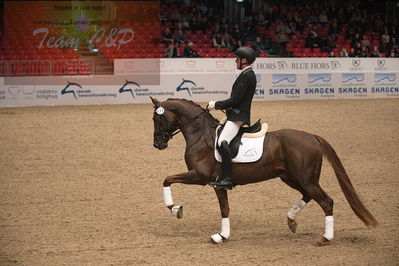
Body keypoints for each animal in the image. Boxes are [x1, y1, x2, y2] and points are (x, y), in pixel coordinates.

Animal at [151, 97, 378, 245]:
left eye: (157, 119)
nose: (157, 144)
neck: (201, 135)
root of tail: (312, 137)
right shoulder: (216, 184)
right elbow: (225, 209)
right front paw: (222, 236)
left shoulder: (200, 176)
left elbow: (166, 179)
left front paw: (175, 208)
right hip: (292, 178)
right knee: (308, 196)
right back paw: (291, 220)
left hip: (305, 179)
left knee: (326, 201)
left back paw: (324, 237)